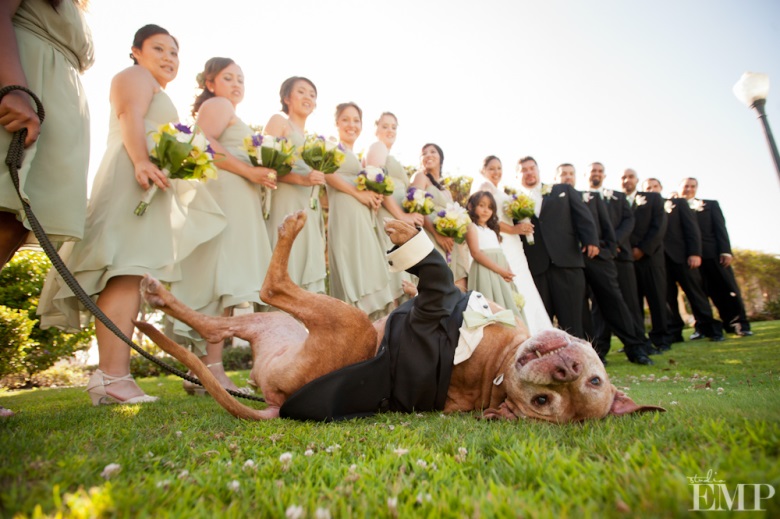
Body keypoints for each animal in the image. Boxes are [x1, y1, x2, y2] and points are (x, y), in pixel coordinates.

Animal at [136, 213, 664, 424]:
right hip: (275, 327)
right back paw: (155, 304)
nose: (566, 369)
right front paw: (407, 273)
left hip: (339, 322)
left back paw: (290, 227)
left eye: (542, 402)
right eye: (596, 379)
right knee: (216, 325)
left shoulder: (431, 318)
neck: (497, 363)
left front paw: (409, 239)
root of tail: (275, 401)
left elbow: (435, 276)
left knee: (271, 288)